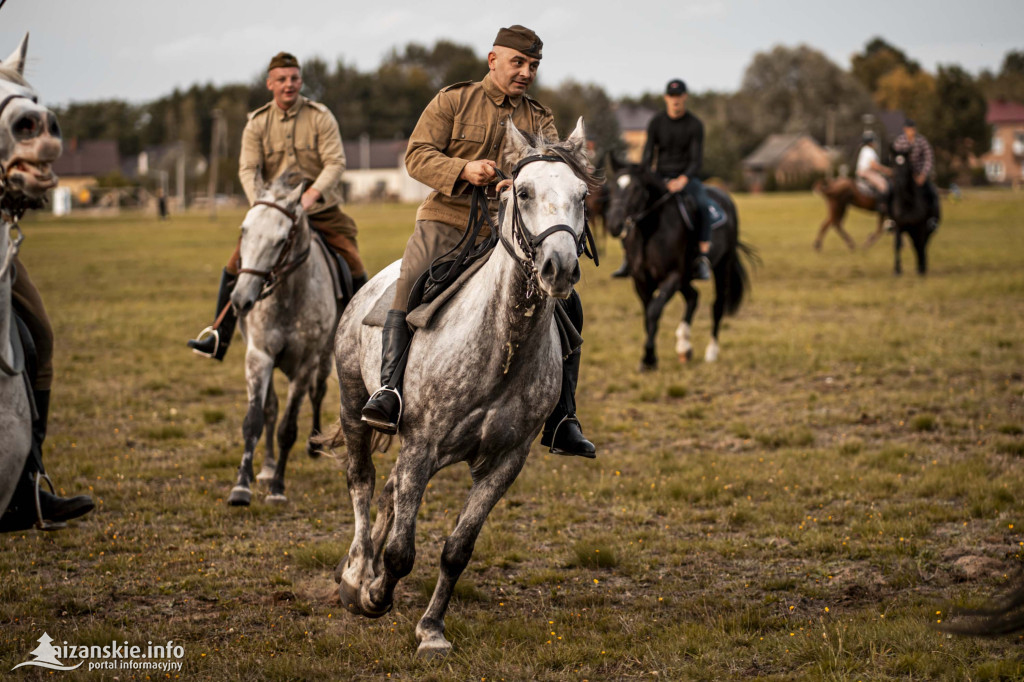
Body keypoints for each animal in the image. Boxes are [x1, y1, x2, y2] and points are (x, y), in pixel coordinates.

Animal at [226, 175, 337, 503]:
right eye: (244, 231)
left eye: (280, 240)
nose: (240, 300)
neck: (288, 295)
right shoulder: (259, 356)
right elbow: (255, 420)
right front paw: (242, 486)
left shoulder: (305, 365)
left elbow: (288, 428)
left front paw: (277, 488)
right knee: (271, 409)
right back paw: (264, 468)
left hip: (323, 361)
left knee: (317, 393)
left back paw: (313, 445)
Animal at [319, 116, 593, 655]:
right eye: (523, 192)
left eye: (582, 194)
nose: (560, 268)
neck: (499, 349)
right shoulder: (421, 446)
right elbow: (402, 551)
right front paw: (375, 594)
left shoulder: (504, 463)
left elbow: (457, 550)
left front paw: (431, 629)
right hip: (352, 404)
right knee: (362, 482)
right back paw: (356, 574)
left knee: (387, 491)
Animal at [606, 158, 753, 368]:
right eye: (612, 187)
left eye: (636, 188)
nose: (614, 224)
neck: (650, 231)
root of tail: (724, 196)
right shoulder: (641, 281)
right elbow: (647, 314)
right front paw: (650, 358)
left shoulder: (673, 276)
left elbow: (654, 311)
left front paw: (648, 357)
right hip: (686, 277)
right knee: (694, 297)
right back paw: (684, 346)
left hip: (721, 266)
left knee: (717, 306)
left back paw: (711, 352)